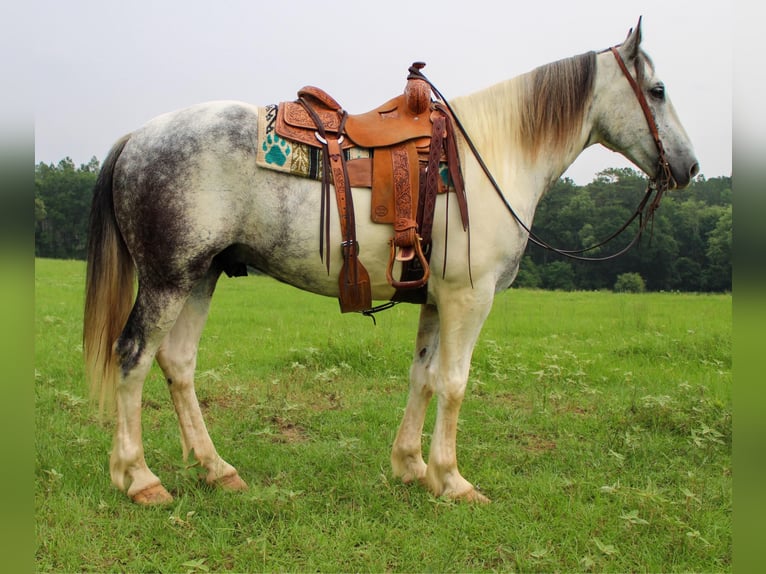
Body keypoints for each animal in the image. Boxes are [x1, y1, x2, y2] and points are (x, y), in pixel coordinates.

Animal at [84, 19, 698, 505]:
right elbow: (454, 382)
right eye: (658, 89)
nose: (689, 167)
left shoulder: (435, 297)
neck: (490, 155)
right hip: (168, 279)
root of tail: (138, 136)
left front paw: (412, 467)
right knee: (133, 357)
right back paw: (139, 479)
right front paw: (453, 480)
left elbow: (423, 377)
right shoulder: (468, 297)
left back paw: (217, 470)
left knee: (178, 363)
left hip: (200, 276)